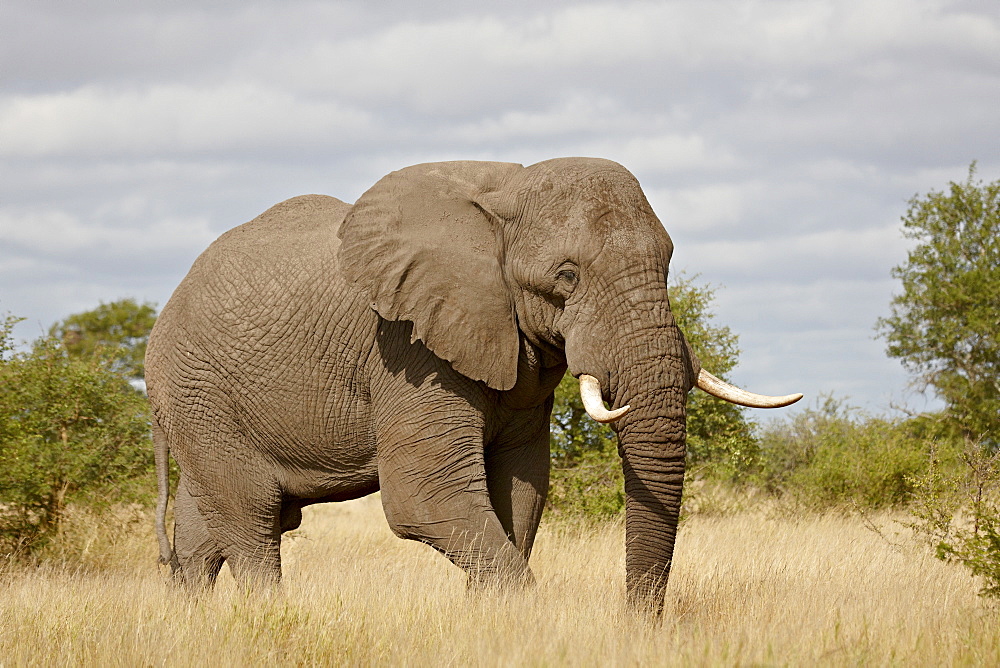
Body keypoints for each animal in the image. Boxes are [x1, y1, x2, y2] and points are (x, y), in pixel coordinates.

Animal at [148, 157, 800, 612]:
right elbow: (426, 500)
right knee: (252, 521)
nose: (636, 624)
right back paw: (271, 618)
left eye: (666, 263)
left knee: (205, 533)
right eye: (566, 276)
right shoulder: (407, 347)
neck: (505, 191)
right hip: (199, 391)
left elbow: (521, 492)